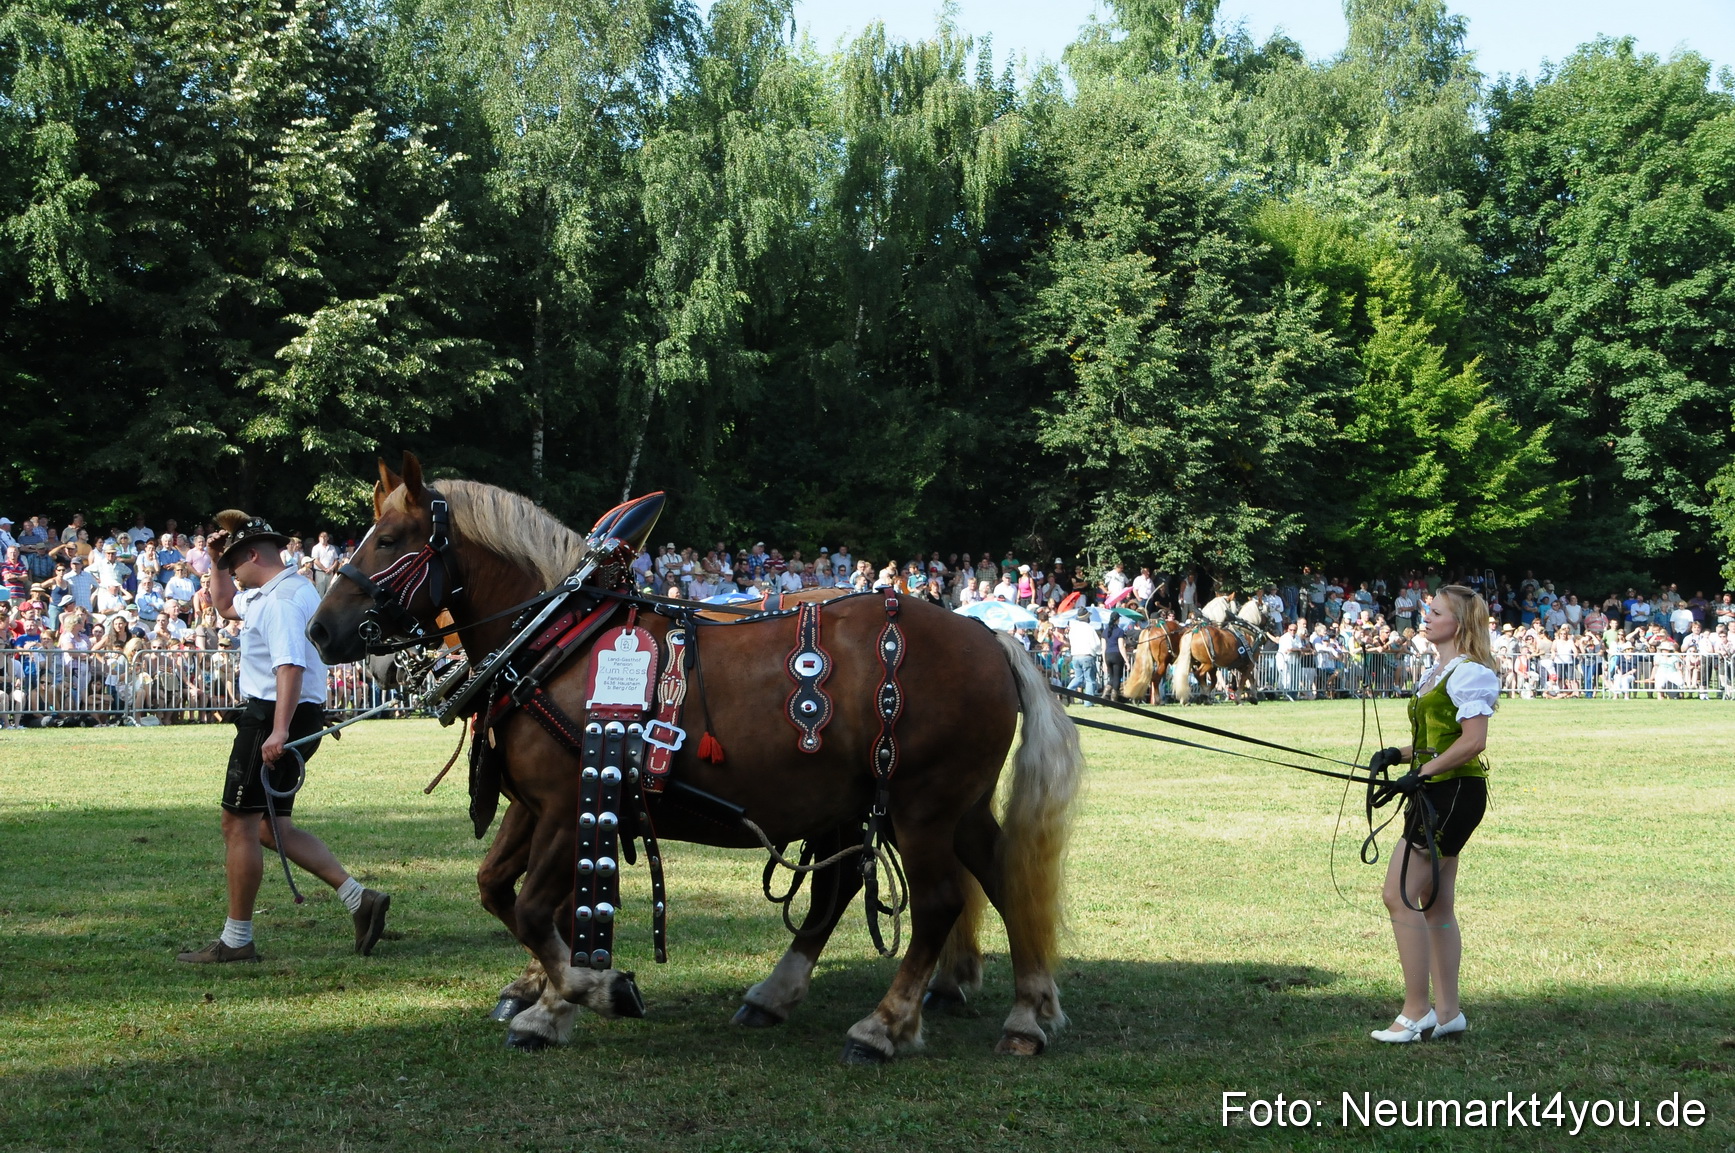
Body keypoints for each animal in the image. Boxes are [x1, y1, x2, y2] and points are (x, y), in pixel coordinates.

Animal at [307, 455, 1084, 1062]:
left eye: (391, 540)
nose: (319, 631)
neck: (555, 637)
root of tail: (989, 636)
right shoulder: (537, 804)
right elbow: (500, 890)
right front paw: (549, 998)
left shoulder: (565, 802)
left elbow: (532, 907)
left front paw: (589, 992)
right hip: (933, 803)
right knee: (988, 876)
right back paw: (1021, 1011)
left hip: (920, 803)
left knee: (937, 900)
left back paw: (886, 1025)